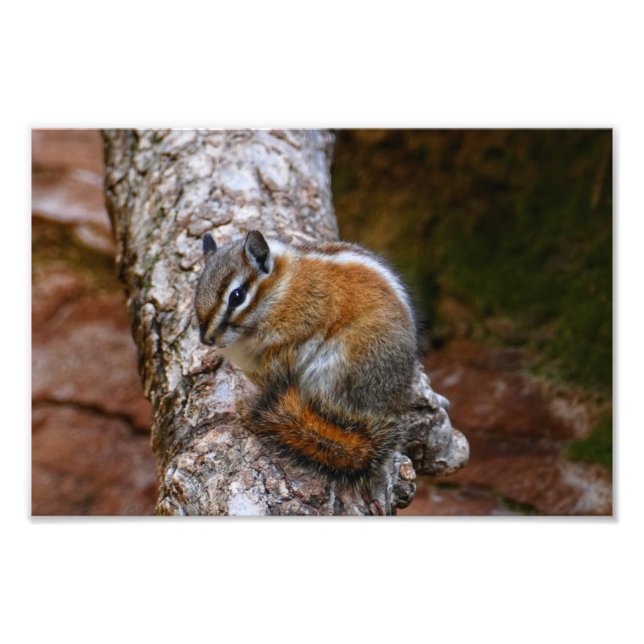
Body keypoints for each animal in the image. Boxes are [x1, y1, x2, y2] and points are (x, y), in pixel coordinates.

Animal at [195, 230, 417, 485]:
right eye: (197, 286)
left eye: (237, 296)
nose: (207, 339)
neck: (279, 289)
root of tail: (392, 400)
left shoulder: (308, 320)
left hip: (342, 366)